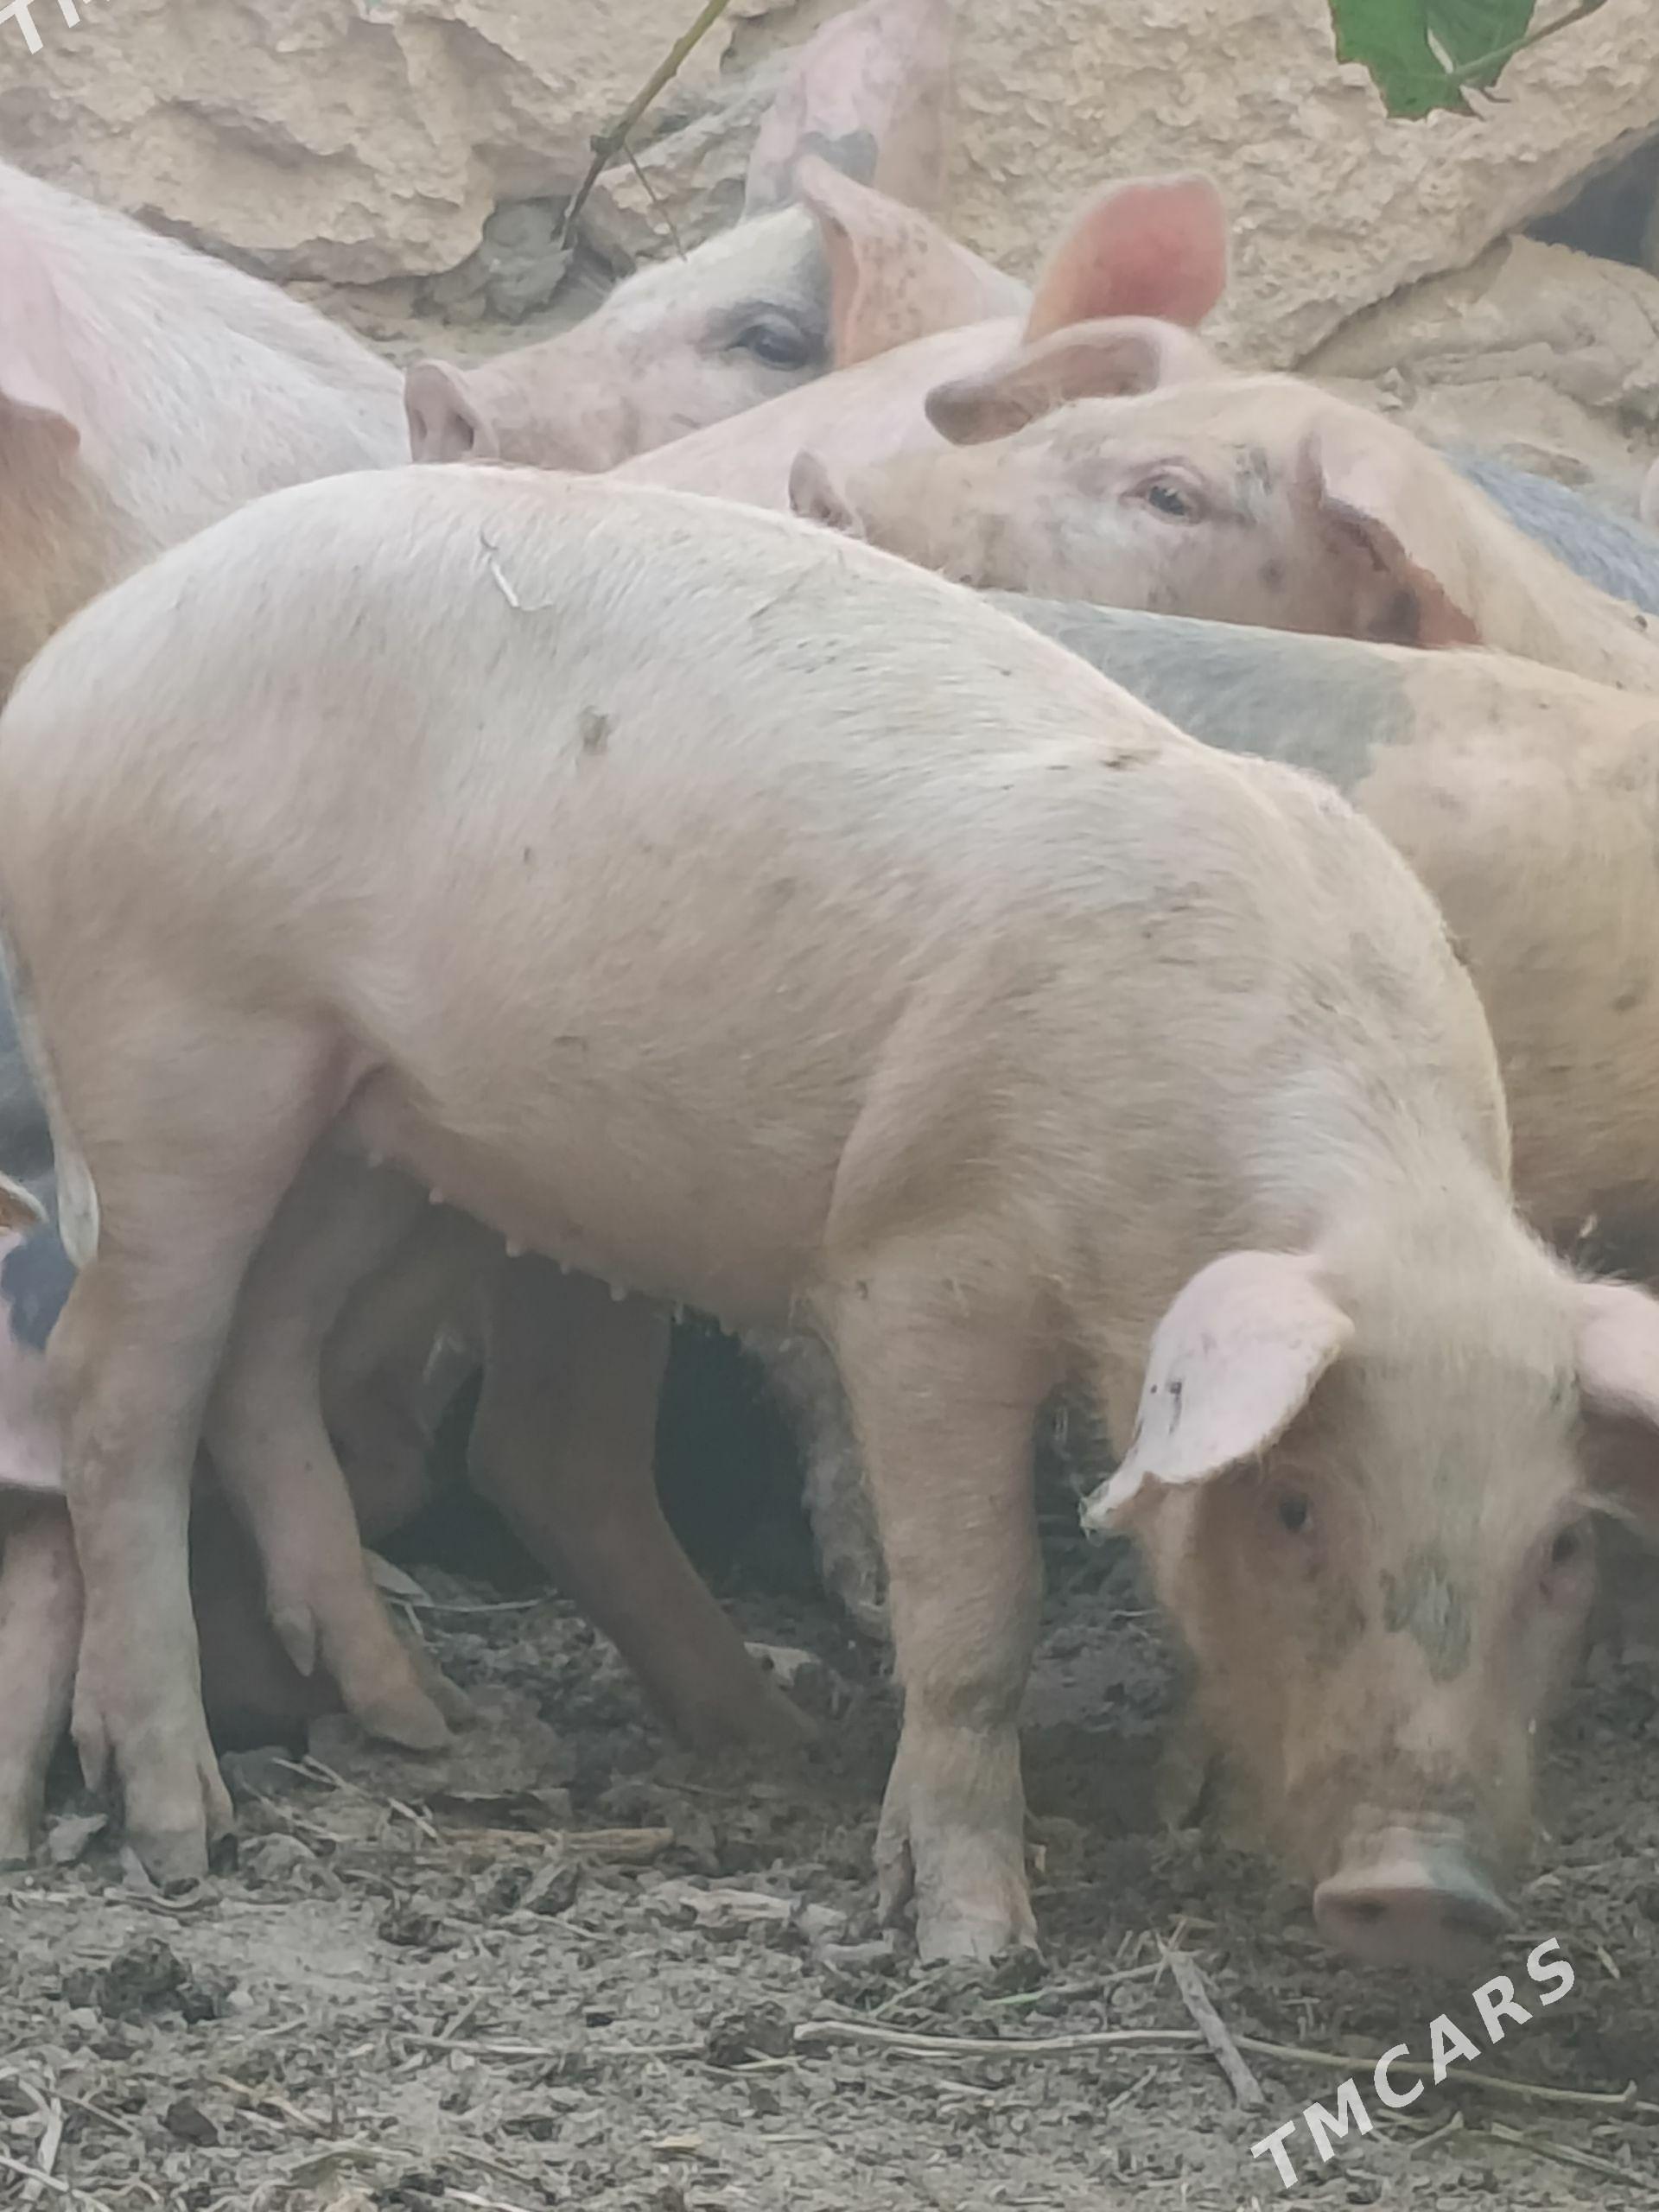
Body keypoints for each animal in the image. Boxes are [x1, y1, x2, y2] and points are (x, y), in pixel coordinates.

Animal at [5, 468, 1659, 1969]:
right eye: (1300, 1506)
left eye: (1566, 1549)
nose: (1417, 1892)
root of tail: (70, 666)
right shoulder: (920, 1262)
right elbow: (981, 1603)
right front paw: (976, 1947)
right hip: (179, 1041)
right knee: (123, 1386)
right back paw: (184, 1835)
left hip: (375, 1125)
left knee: (301, 1373)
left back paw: (511, 1723)